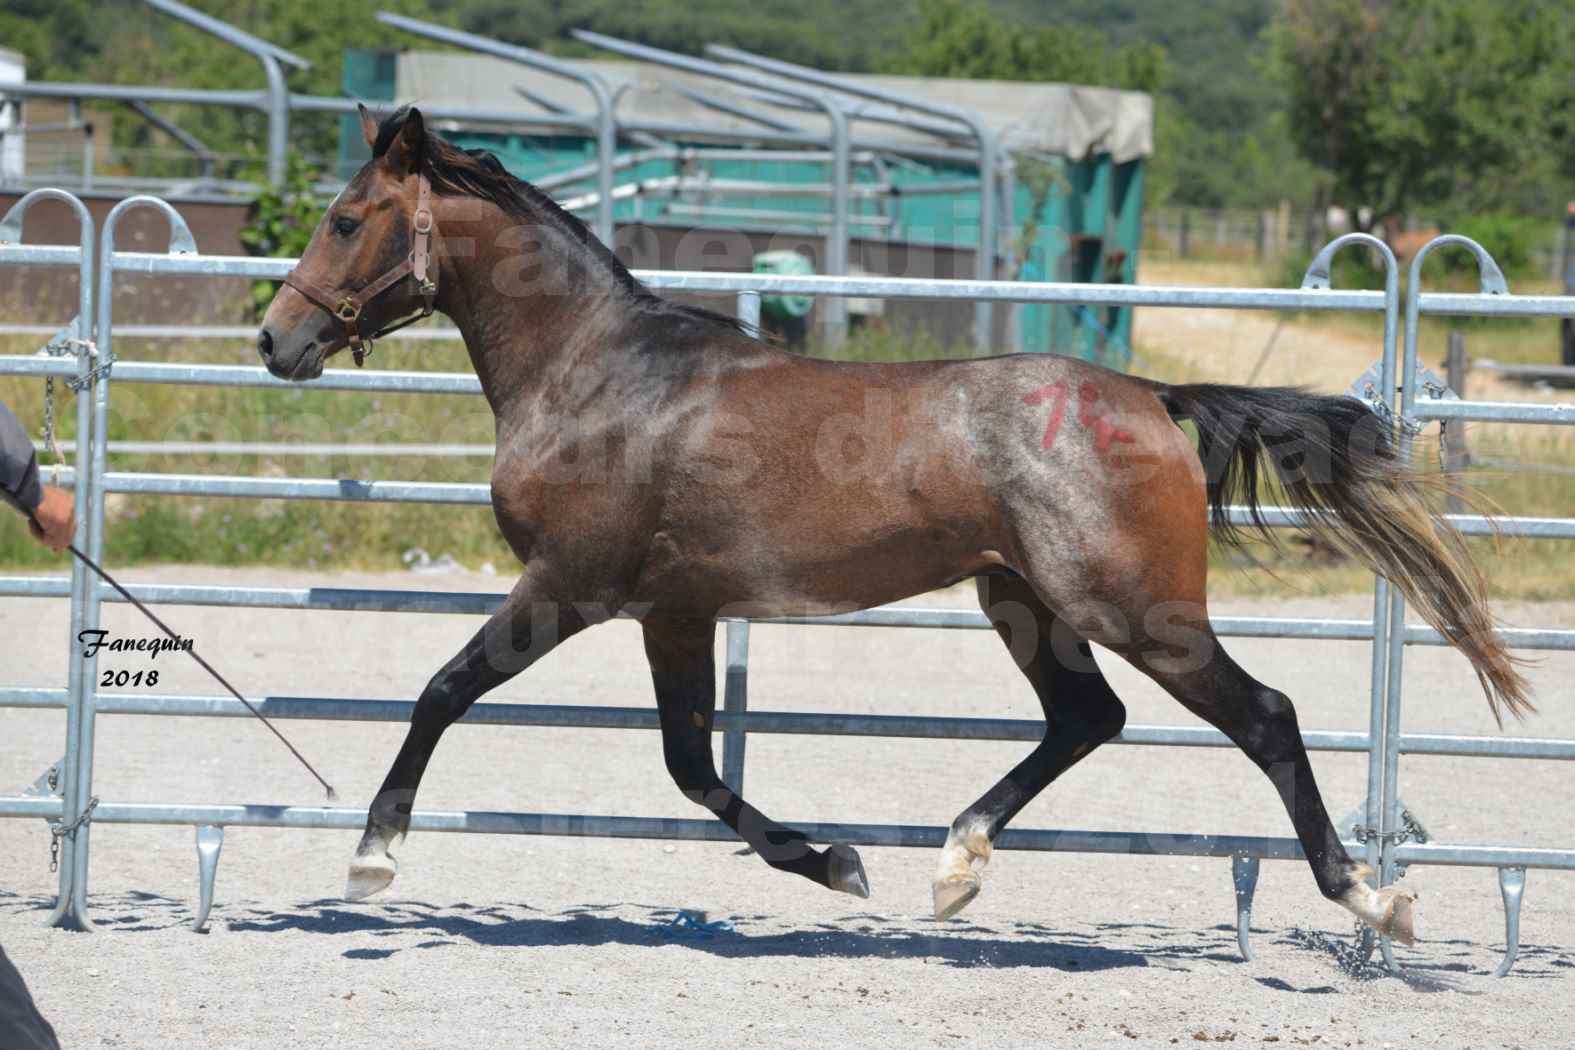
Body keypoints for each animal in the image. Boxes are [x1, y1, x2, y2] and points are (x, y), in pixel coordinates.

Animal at [255, 107, 1524, 944]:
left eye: (347, 217)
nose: (274, 342)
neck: (602, 376)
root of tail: (1151, 397)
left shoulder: (566, 588)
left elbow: (443, 691)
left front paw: (372, 857)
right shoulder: (675, 611)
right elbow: (691, 766)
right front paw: (837, 863)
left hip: (1134, 609)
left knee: (1263, 717)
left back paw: (1375, 899)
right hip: (1023, 601)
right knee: (1087, 720)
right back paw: (954, 865)